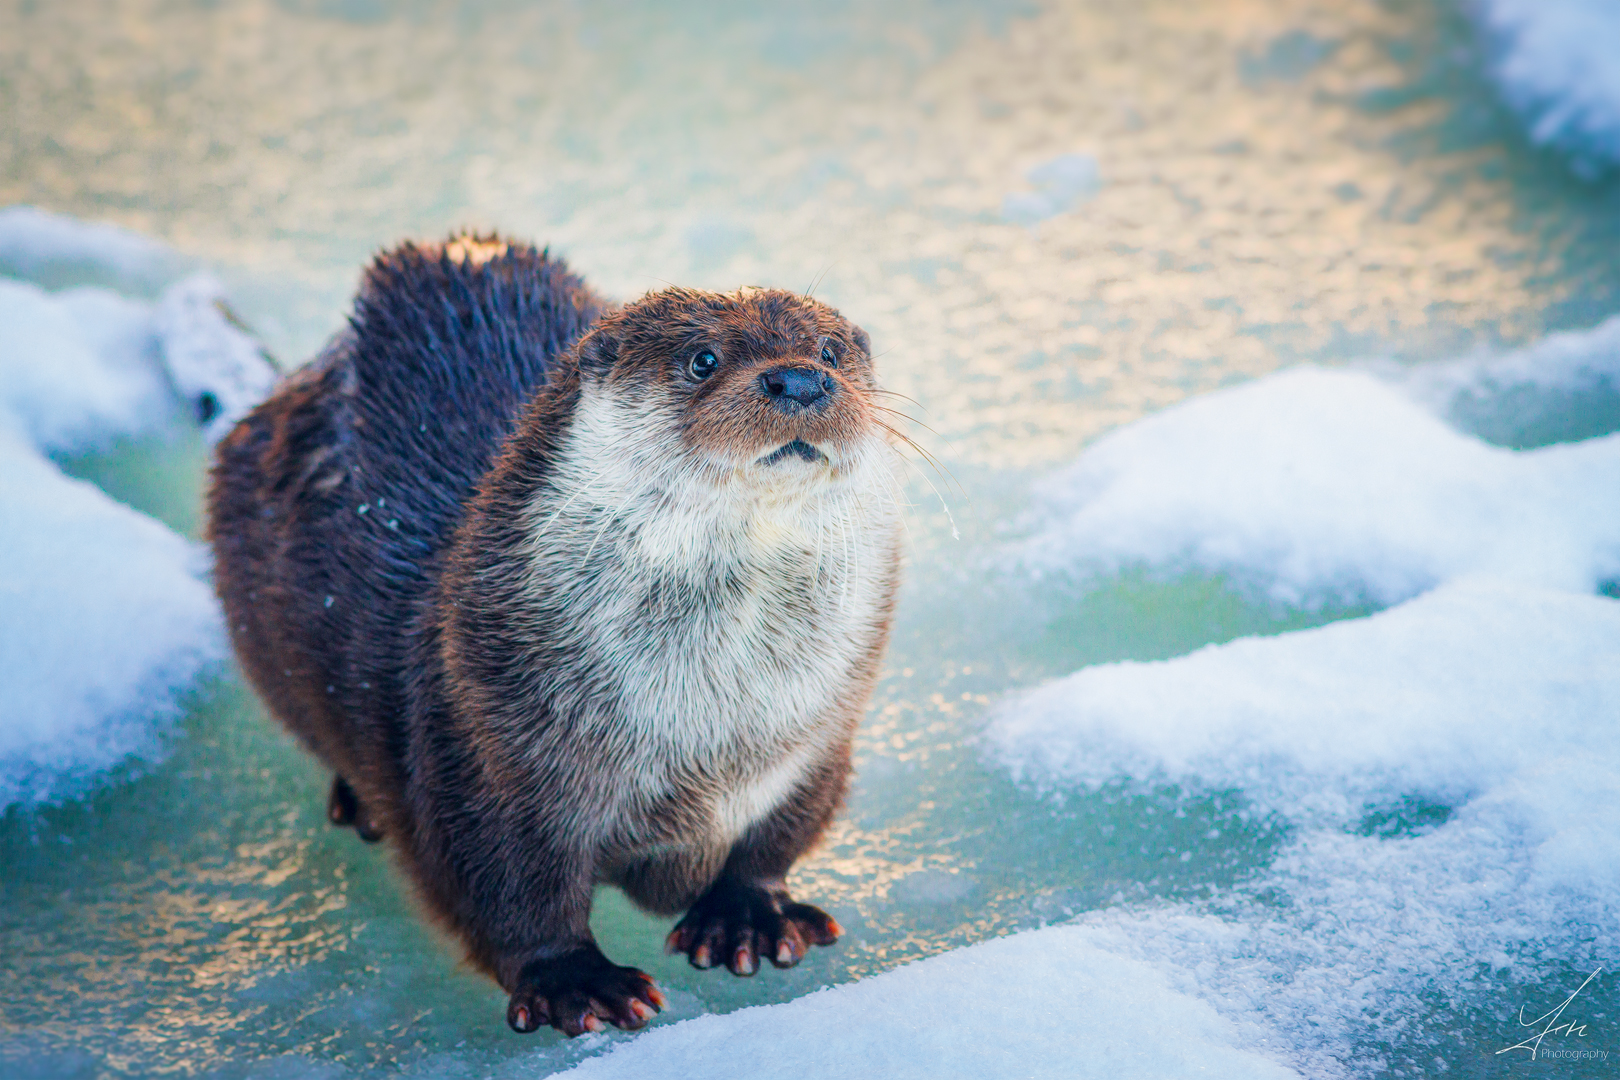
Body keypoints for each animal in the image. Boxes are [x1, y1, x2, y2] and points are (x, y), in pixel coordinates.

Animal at [205, 234, 900, 1036]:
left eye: (830, 350)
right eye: (702, 358)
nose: (802, 380)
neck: (706, 737)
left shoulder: (815, 740)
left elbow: (777, 838)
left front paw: (749, 916)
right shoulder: (483, 738)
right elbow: (505, 890)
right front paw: (576, 981)